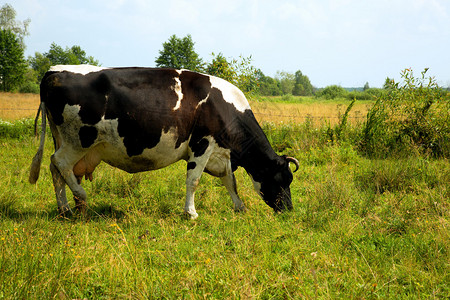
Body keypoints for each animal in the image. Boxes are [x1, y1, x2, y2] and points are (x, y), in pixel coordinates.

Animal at [30, 65, 298, 218]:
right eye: (281, 179)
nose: (288, 209)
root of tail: (53, 72)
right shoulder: (202, 144)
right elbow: (193, 180)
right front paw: (190, 213)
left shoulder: (223, 154)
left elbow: (230, 182)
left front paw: (240, 207)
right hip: (79, 140)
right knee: (60, 163)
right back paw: (81, 196)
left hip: (63, 138)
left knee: (56, 170)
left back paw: (65, 209)